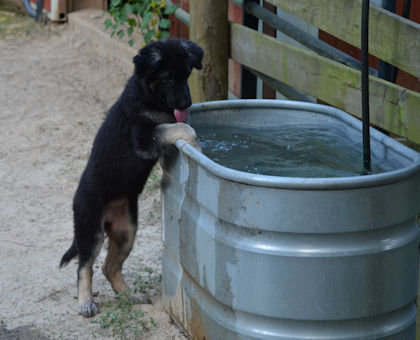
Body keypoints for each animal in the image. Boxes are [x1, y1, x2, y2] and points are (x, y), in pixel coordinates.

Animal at [60, 38, 203, 318]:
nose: (186, 104)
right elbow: (178, 127)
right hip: (91, 228)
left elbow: (177, 125)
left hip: (126, 230)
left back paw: (129, 295)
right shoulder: (143, 137)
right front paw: (196, 144)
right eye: (168, 78)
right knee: (85, 266)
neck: (149, 96)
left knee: (109, 267)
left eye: (187, 74)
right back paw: (85, 302)